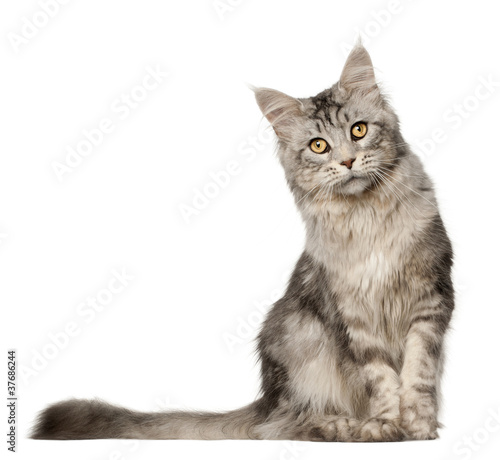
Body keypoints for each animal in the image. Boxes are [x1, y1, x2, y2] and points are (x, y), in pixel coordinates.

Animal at [31, 45, 454, 444]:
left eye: (359, 130)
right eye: (318, 146)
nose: (349, 161)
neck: (367, 219)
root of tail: (267, 398)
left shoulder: (430, 300)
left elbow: (418, 373)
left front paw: (419, 426)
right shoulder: (352, 318)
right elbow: (381, 379)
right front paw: (388, 424)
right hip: (300, 339)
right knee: (285, 424)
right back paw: (349, 427)